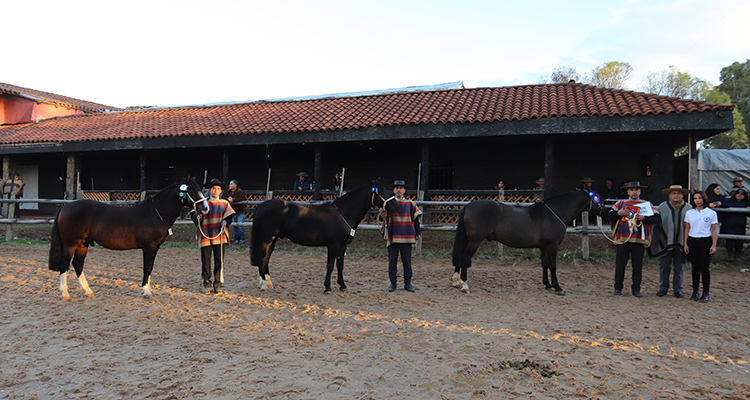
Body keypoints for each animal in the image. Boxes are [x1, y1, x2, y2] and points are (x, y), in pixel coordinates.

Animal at [47, 177, 209, 296]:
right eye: (192, 191)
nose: (206, 209)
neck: (154, 213)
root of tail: (65, 207)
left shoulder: (155, 248)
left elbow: (150, 267)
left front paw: (147, 288)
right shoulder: (149, 247)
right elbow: (147, 267)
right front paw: (146, 290)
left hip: (82, 244)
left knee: (78, 264)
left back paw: (88, 291)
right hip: (70, 244)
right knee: (65, 264)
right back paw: (65, 293)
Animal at [251, 180, 400, 292]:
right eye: (382, 192)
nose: (396, 207)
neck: (343, 213)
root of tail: (261, 206)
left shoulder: (342, 246)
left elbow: (340, 265)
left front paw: (342, 285)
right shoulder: (333, 245)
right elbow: (330, 265)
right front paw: (327, 287)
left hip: (272, 240)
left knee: (267, 258)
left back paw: (269, 283)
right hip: (267, 239)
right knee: (262, 258)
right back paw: (264, 285)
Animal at [452, 189, 604, 296]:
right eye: (598, 200)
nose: (607, 211)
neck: (555, 213)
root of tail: (468, 205)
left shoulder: (544, 247)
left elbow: (544, 264)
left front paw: (547, 285)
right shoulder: (552, 245)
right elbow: (553, 265)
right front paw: (558, 287)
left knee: (459, 257)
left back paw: (456, 282)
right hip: (474, 241)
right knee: (465, 257)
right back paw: (465, 285)